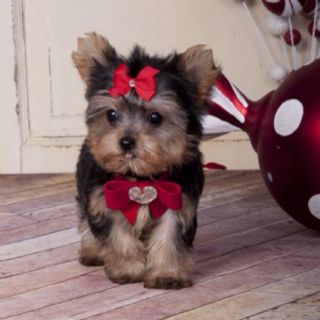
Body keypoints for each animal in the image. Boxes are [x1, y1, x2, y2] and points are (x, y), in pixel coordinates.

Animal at [72, 33, 218, 290]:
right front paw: (128, 270)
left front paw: (167, 275)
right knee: (86, 219)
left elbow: (169, 238)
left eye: (155, 117)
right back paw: (92, 251)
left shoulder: (177, 202)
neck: (138, 178)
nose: (126, 142)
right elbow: (118, 236)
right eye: (111, 115)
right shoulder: (104, 198)